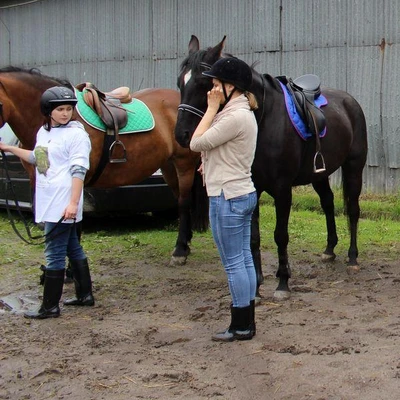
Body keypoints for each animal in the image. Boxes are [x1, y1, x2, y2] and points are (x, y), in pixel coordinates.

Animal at [175, 36, 368, 300]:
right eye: (179, 82)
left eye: (204, 83)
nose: (181, 135)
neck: (262, 119)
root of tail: (350, 101)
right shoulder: (253, 187)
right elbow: (254, 238)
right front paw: (256, 286)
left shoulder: (282, 189)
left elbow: (280, 235)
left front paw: (283, 283)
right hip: (319, 174)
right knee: (328, 203)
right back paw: (329, 249)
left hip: (353, 168)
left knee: (353, 210)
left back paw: (352, 258)